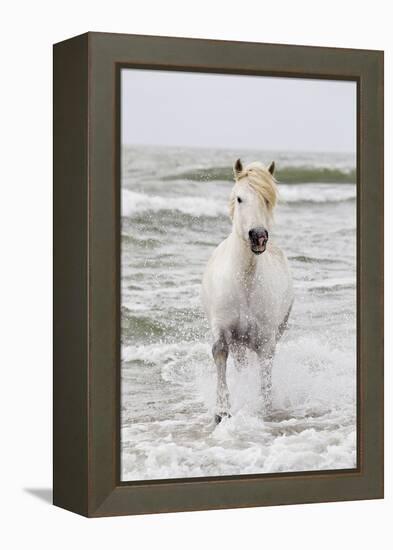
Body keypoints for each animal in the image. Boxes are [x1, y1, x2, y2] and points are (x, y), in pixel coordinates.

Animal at [202, 157, 290, 424]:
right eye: (240, 198)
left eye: (267, 199)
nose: (258, 236)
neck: (244, 283)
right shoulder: (222, 330)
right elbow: (220, 355)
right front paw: (222, 411)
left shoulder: (266, 339)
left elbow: (265, 372)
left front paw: (266, 409)